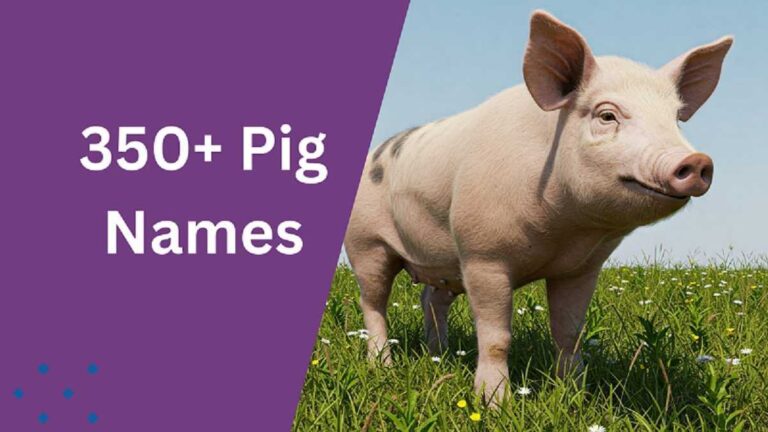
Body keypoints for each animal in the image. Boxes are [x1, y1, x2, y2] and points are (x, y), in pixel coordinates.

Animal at [344, 10, 732, 402]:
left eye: (676, 118)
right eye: (607, 116)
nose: (697, 160)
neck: (565, 231)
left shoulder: (581, 267)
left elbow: (569, 332)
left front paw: (575, 394)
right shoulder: (482, 254)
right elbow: (496, 337)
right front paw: (494, 403)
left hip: (441, 261)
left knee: (431, 300)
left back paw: (440, 355)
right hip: (366, 244)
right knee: (373, 304)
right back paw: (383, 366)